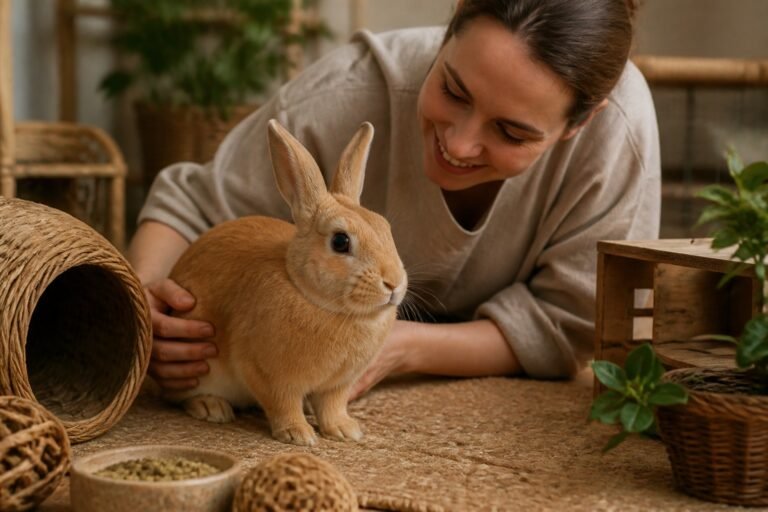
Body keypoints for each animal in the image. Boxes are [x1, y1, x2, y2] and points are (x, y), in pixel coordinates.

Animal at [164, 119, 408, 446]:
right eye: (340, 241)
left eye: (386, 229)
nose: (393, 283)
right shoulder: (268, 375)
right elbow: (283, 404)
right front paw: (298, 435)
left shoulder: (338, 385)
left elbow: (332, 405)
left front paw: (345, 430)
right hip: (196, 371)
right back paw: (211, 408)